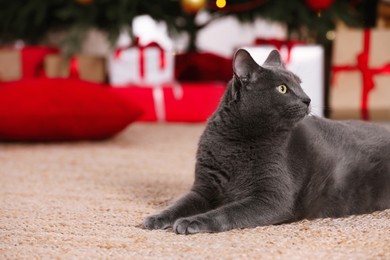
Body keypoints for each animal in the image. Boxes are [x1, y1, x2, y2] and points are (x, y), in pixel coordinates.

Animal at [142, 48, 390, 234]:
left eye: (300, 84)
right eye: (282, 88)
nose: (307, 99)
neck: (237, 142)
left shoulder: (273, 198)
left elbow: (228, 211)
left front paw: (192, 222)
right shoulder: (204, 187)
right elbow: (179, 204)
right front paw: (156, 218)